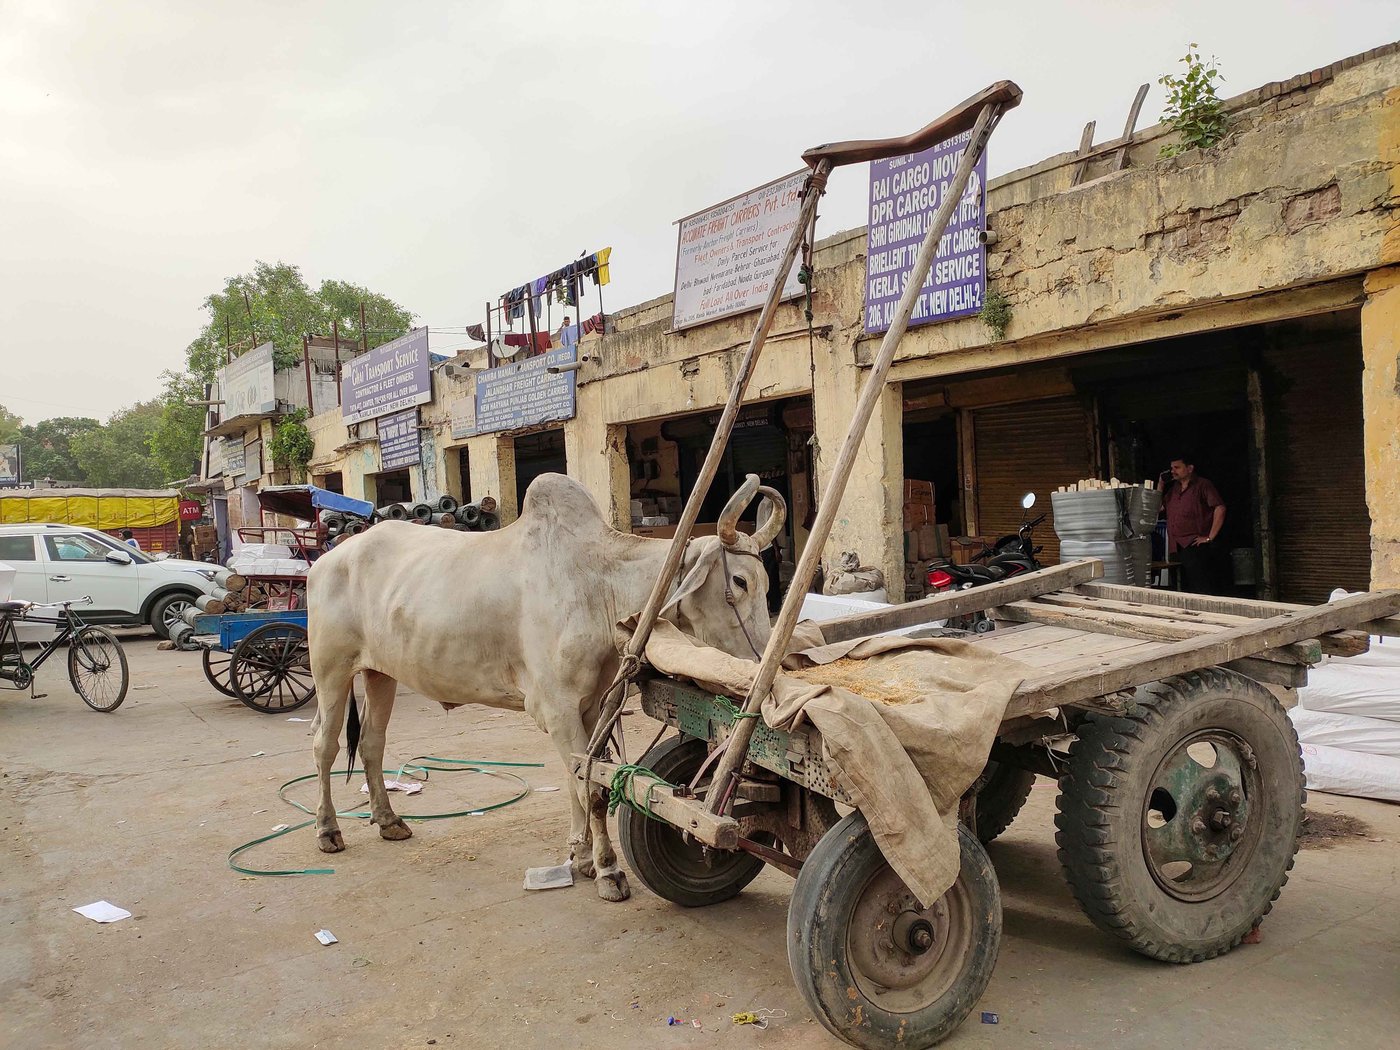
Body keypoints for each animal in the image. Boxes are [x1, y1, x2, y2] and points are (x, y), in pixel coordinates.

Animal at [308, 473, 784, 901]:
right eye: (740, 582)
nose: (763, 661)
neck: (599, 583)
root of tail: (328, 560)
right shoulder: (557, 709)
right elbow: (590, 790)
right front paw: (608, 870)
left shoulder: (590, 708)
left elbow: (577, 781)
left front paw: (582, 858)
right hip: (330, 669)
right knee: (325, 745)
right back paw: (328, 830)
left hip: (379, 674)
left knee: (371, 744)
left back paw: (389, 821)